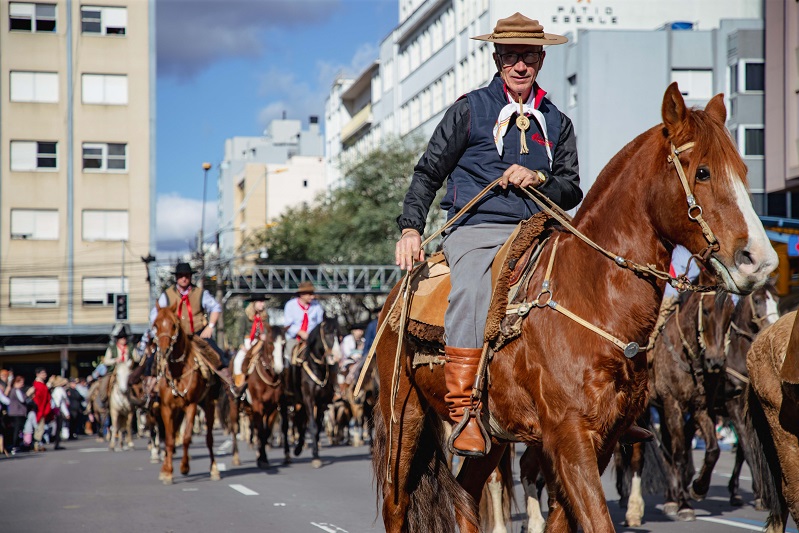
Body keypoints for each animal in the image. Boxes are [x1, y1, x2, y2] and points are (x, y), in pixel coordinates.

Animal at [152, 302, 222, 484]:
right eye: (155, 325)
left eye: (173, 325)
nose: (163, 350)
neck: (178, 372)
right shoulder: (166, 407)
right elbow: (169, 439)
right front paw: (167, 472)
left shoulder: (191, 406)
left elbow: (186, 437)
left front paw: (184, 467)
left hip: (208, 405)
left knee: (209, 438)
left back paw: (214, 469)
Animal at [372, 84, 780, 532]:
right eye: (703, 172)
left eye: (743, 171)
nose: (760, 261)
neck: (594, 296)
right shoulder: (570, 436)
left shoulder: (603, 438)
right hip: (404, 419)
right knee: (397, 504)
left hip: (493, 437)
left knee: (466, 495)